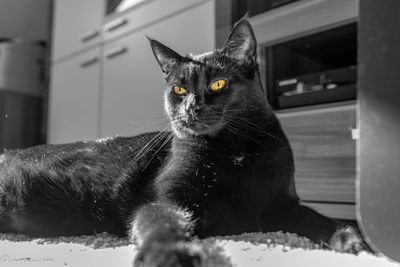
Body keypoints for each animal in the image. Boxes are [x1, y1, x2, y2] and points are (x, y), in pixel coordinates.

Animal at [0, 19, 362, 266]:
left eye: (217, 84)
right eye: (178, 89)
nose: (191, 107)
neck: (234, 149)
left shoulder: (283, 206)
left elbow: (314, 218)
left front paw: (349, 237)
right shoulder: (169, 199)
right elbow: (163, 223)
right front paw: (170, 256)